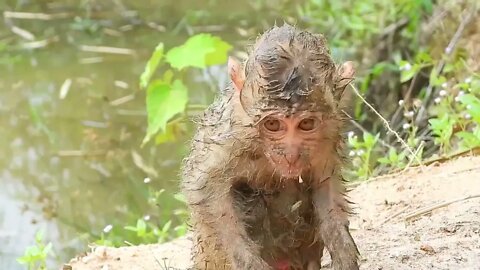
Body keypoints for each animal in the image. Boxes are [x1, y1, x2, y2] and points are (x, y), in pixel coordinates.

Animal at [182, 23, 358, 270]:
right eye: (273, 124)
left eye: (306, 124)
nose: (291, 155)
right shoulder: (230, 137)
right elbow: (204, 187)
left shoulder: (328, 134)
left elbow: (324, 181)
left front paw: (344, 254)